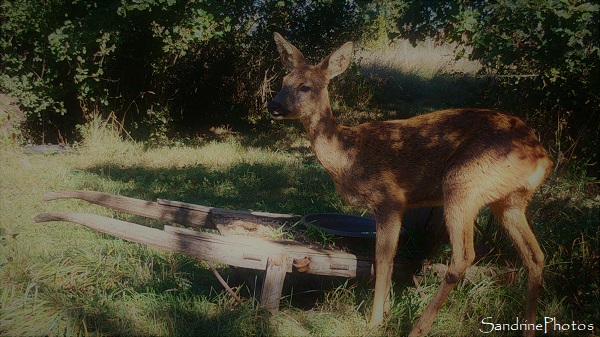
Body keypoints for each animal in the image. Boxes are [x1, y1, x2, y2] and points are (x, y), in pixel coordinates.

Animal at [268, 32, 552, 336]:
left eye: (305, 86)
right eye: (283, 81)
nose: (273, 106)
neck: (347, 157)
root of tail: (542, 156)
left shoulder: (390, 197)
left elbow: (382, 257)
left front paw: (375, 321)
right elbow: (390, 257)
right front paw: (386, 311)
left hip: (463, 183)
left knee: (464, 256)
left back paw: (417, 327)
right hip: (509, 201)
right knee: (535, 255)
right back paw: (529, 328)